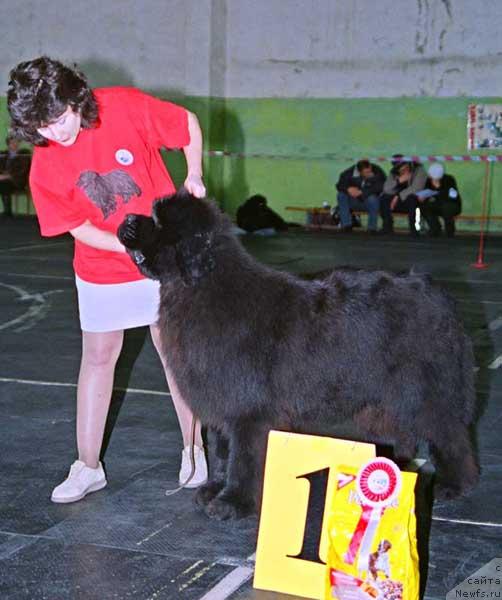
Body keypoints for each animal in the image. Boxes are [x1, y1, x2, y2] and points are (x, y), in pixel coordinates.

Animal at [117, 189, 478, 520]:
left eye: (158, 223)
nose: (128, 219)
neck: (201, 285)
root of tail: (436, 291)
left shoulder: (248, 409)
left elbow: (242, 456)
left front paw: (233, 502)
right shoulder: (219, 399)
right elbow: (221, 450)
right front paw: (212, 490)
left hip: (425, 390)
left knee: (450, 434)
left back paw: (454, 485)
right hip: (386, 398)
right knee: (403, 430)